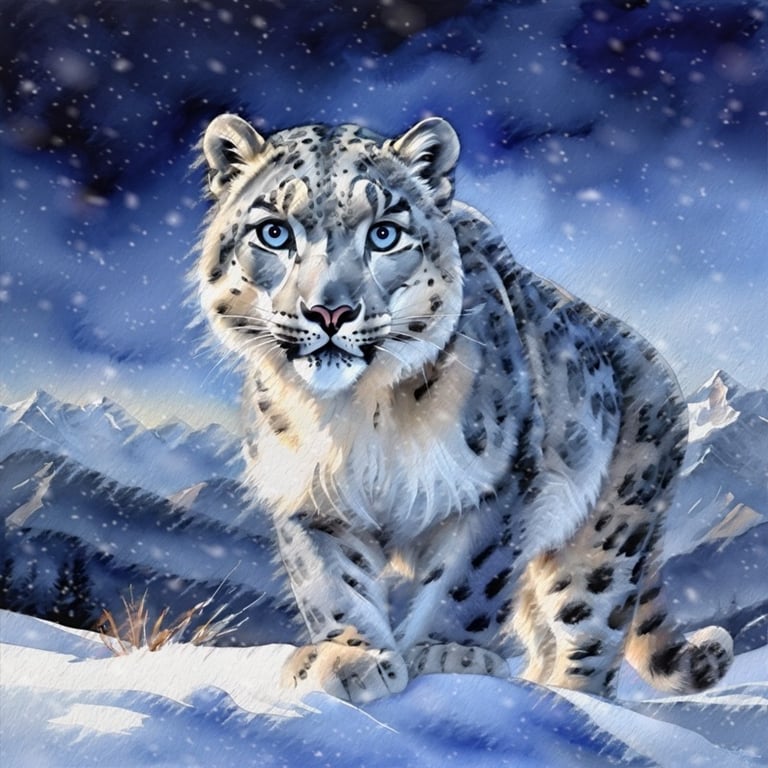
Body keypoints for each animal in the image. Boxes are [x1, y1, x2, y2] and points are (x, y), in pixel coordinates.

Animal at [193, 113, 733, 704]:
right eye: (274, 232)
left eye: (384, 233)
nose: (329, 311)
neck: (358, 415)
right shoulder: (310, 495)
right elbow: (331, 580)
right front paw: (350, 656)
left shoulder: (495, 487)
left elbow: (469, 580)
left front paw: (448, 654)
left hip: (607, 535)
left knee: (591, 630)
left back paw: (569, 695)